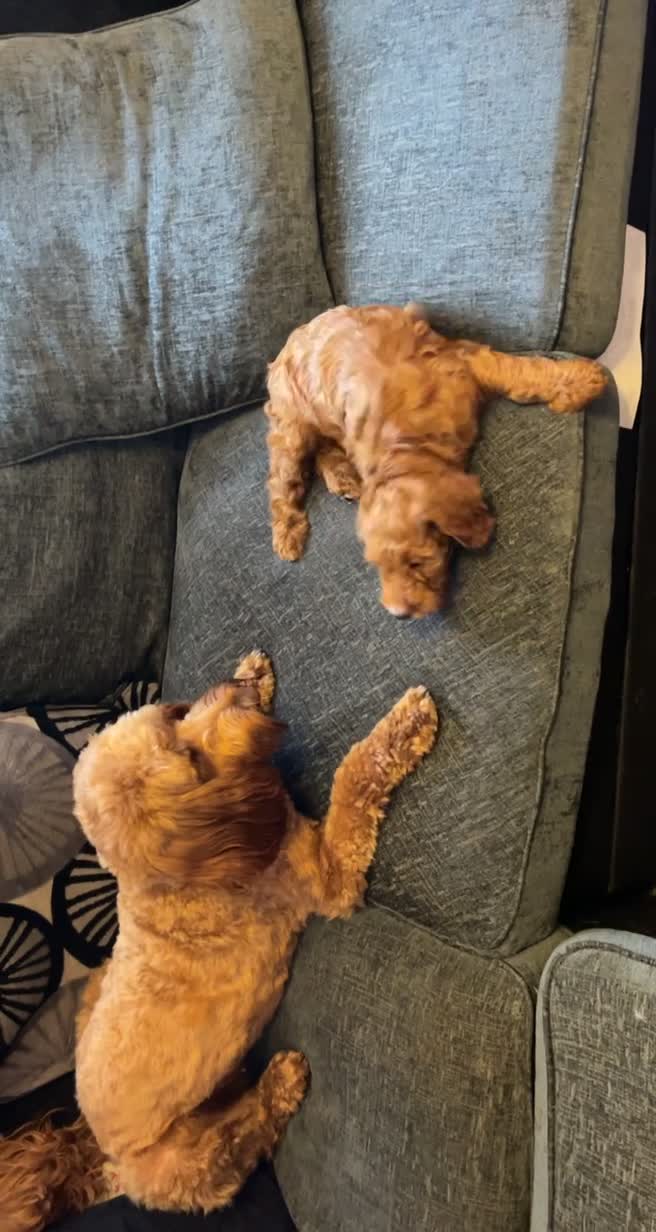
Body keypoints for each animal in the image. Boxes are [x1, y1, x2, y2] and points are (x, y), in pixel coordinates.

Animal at [0, 651, 438, 1229]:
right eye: (188, 757)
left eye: (173, 717)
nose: (235, 686)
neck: (189, 870)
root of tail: (105, 1159)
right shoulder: (331, 878)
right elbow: (354, 776)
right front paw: (406, 724)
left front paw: (256, 671)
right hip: (193, 1161)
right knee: (241, 1139)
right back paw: (278, 1084)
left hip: (96, 989)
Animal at [265, 303, 607, 617]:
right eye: (378, 567)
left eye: (417, 562)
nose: (398, 614)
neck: (404, 446)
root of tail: (285, 346)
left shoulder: (464, 363)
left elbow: (518, 371)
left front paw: (584, 379)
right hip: (291, 424)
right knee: (282, 482)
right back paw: (288, 535)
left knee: (317, 451)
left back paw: (342, 479)